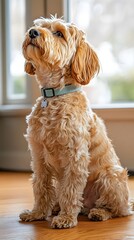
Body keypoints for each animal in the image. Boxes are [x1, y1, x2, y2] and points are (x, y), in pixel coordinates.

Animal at [19, 16, 132, 227]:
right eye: (39, 25)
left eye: (59, 33)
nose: (32, 32)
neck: (55, 95)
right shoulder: (38, 156)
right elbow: (41, 186)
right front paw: (37, 213)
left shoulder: (75, 156)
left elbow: (70, 190)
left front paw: (65, 218)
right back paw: (57, 207)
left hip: (111, 175)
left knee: (119, 210)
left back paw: (98, 212)